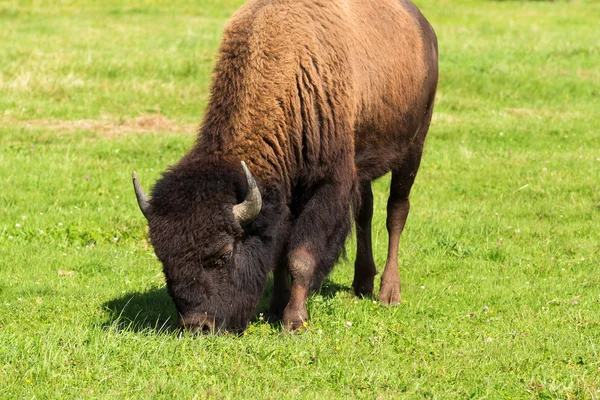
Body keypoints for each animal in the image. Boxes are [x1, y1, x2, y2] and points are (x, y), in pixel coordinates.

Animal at [134, 0, 438, 332]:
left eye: (223, 255)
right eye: (164, 259)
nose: (197, 326)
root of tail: (424, 27)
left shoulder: (326, 186)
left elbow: (300, 257)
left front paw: (294, 321)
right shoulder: (287, 190)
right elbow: (280, 251)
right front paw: (276, 307)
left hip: (413, 148)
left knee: (396, 212)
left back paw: (389, 293)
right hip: (365, 166)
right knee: (364, 213)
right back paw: (362, 284)